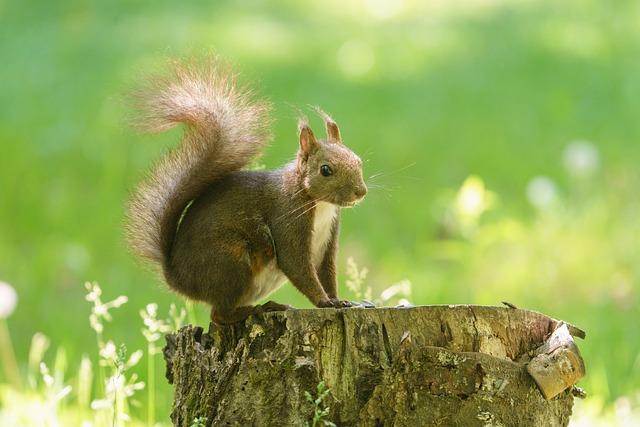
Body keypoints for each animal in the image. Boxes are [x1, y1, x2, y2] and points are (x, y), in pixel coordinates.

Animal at [126, 56, 364, 324]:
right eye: (325, 170)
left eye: (358, 160)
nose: (361, 191)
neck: (318, 202)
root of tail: (180, 279)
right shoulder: (287, 218)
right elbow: (296, 265)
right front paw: (324, 302)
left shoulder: (328, 238)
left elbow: (327, 272)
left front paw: (339, 301)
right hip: (231, 262)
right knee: (219, 315)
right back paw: (258, 309)